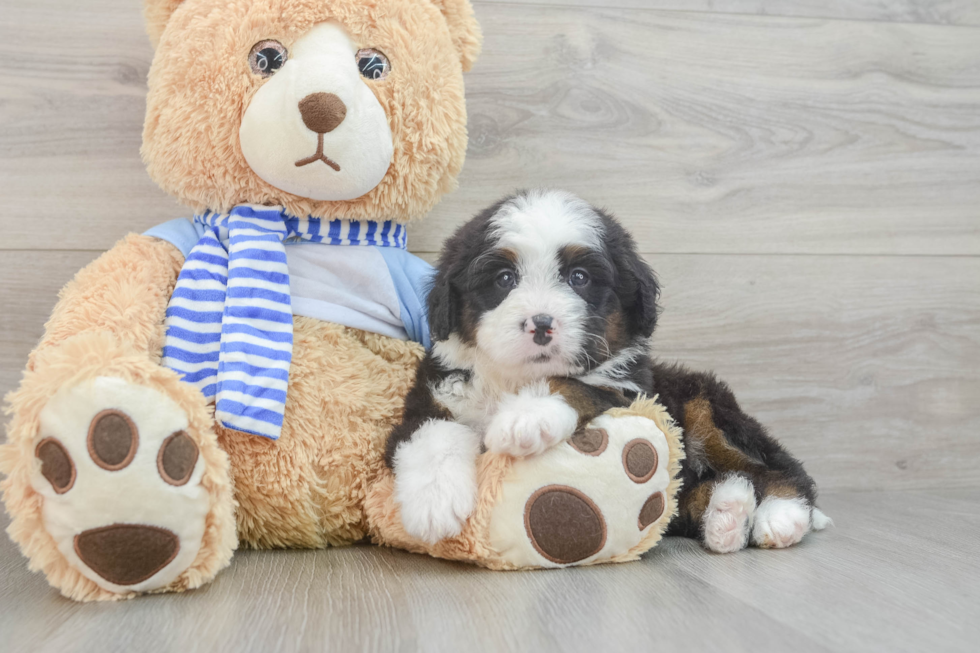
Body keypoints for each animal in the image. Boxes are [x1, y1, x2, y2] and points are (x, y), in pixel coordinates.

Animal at [382, 188, 828, 552]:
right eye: (504, 278)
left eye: (579, 277)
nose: (541, 324)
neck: (513, 379)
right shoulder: (435, 394)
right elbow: (431, 434)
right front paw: (433, 503)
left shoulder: (633, 391)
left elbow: (574, 384)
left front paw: (525, 418)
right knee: (688, 498)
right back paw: (727, 514)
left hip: (705, 408)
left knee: (778, 465)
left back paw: (781, 515)